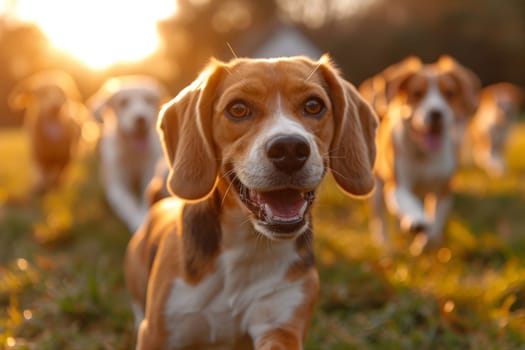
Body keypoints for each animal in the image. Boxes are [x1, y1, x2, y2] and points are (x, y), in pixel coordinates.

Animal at [89, 75, 168, 232]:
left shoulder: (149, 175)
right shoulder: (117, 186)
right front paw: (138, 222)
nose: (141, 118)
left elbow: (144, 197)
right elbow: (129, 205)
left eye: (149, 99)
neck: (133, 153)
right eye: (123, 102)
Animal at [123, 56, 376, 348]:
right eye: (238, 109)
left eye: (314, 105)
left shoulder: (280, 327)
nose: (290, 149)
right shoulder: (159, 332)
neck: (246, 245)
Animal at [360, 55, 478, 249]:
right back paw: (385, 243)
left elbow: (436, 222)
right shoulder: (397, 185)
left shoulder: (444, 189)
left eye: (449, 93)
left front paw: (425, 243)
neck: (425, 155)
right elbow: (408, 203)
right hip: (377, 190)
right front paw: (417, 221)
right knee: (380, 220)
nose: (436, 113)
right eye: (417, 93)